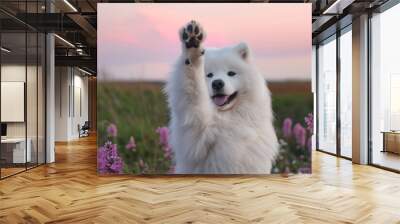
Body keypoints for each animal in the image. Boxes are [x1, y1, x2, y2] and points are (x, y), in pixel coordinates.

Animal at [166, 21, 278, 174]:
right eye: (209, 75)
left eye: (231, 73)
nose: (217, 83)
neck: (226, 118)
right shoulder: (195, 130)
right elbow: (194, 87)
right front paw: (192, 46)